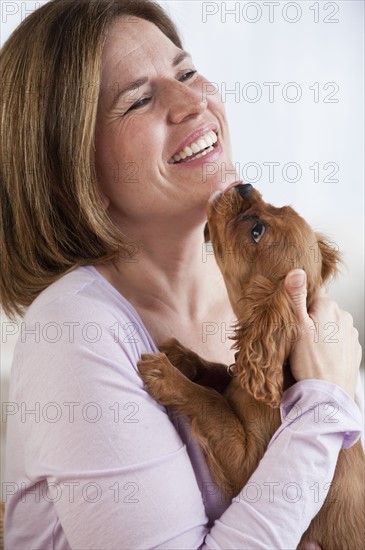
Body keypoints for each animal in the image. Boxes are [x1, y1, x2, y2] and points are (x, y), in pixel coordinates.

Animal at [138, 184, 362, 548]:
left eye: (257, 231)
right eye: (277, 205)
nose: (243, 186)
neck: (283, 372)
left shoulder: (247, 468)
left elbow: (213, 401)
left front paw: (167, 375)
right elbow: (223, 372)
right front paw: (180, 356)